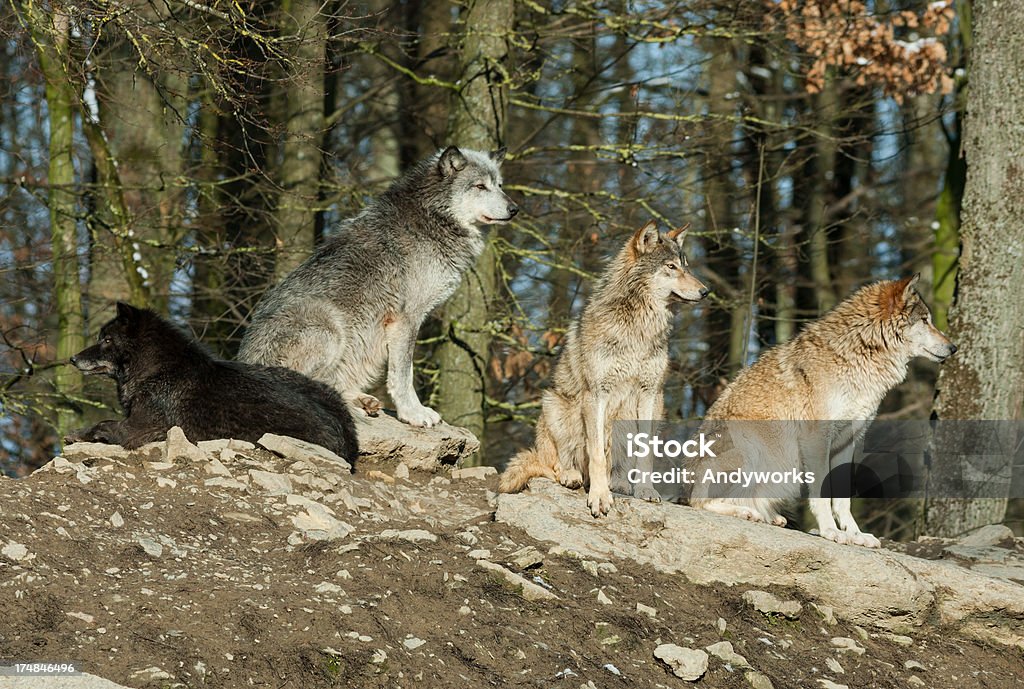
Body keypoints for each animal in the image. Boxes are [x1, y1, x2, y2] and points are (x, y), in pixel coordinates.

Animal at [68, 300, 356, 462]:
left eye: (106, 339)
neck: (160, 370)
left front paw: (78, 434)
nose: (72, 358)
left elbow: (102, 423)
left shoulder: (136, 429)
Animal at [235, 145, 516, 423]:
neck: (431, 218)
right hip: (330, 328)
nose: (515, 209)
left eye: (500, 185)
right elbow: (403, 375)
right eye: (480, 186)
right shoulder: (407, 319)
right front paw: (413, 414)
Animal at [497, 220, 708, 515]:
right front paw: (599, 496)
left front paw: (645, 490)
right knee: (554, 464)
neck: (639, 327)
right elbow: (595, 452)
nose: (706, 291)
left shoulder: (651, 394)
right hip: (555, 405)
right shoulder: (597, 394)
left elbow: (645, 452)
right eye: (671, 267)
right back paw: (572, 476)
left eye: (686, 266)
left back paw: (619, 484)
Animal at [692, 274, 954, 548]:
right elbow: (820, 492)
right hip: (752, 450)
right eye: (925, 320)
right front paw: (830, 531)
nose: (954, 348)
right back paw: (746, 512)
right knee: (698, 502)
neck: (858, 355)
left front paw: (856, 535)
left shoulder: (847, 442)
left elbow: (842, 499)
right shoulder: (816, 439)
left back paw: (769, 516)